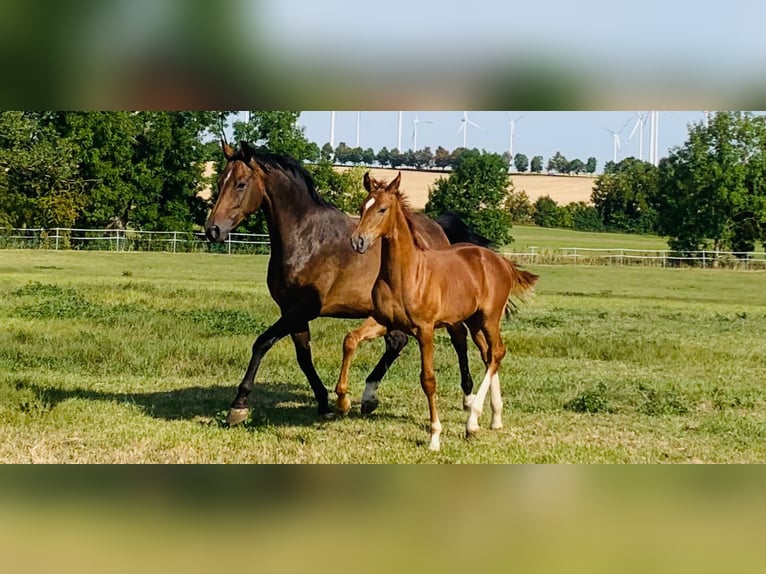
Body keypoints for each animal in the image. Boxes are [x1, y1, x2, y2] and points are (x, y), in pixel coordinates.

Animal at [204, 142, 492, 426]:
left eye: (241, 184)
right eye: (219, 181)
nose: (212, 230)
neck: (306, 237)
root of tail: (438, 229)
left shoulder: (303, 309)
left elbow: (262, 342)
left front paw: (238, 406)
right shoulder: (292, 311)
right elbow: (304, 357)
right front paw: (325, 404)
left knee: (459, 339)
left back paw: (468, 397)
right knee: (397, 342)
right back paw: (368, 397)